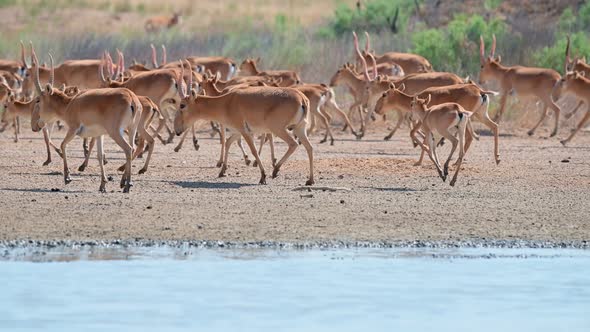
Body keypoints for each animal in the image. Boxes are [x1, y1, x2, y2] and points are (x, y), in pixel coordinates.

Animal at [31, 52, 143, 192]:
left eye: (38, 100)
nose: (34, 125)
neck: (70, 104)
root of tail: (131, 98)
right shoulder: (99, 134)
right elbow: (100, 155)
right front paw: (102, 184)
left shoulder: (73, 129)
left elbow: (63, 145)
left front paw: (67, 178)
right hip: (132, 129)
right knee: (132, 148)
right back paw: (123, 182)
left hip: (116, 132)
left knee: (128, 149)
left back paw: (127, 185)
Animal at [175, 69, 316, 185]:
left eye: (182, 105)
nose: (176, 130)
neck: (226, 102)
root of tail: (302, 98)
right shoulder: (238, 131)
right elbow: (228, 142)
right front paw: (222, 171)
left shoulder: (244, 131)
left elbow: (253, 151)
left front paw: (262, 176)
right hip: (300, 128)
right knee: (309, 147)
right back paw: (310, 180)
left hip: (279, 129)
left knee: (293, 144)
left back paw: (275, 170)